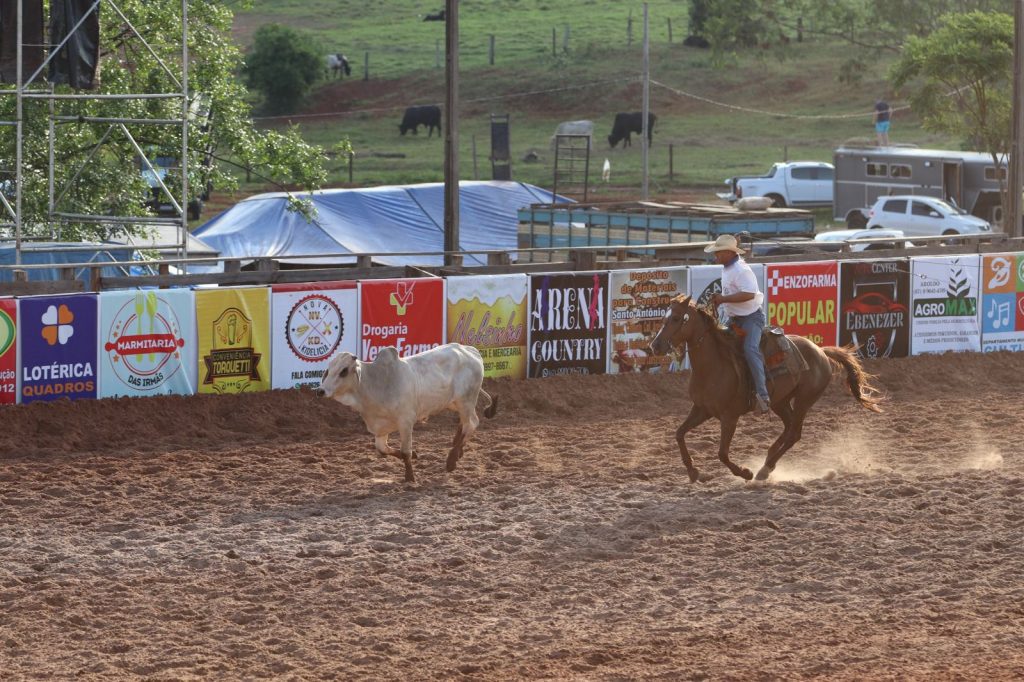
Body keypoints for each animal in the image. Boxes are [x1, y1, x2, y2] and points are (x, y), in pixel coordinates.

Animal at [317, 342, 497, 481]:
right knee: (463, 424)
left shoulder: (406, 422)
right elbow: (382, 450)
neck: (377, 383)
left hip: (466, 400)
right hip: (453, 403)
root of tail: (470, 350)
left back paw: (452, 460)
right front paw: (416, 455)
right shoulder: (381, 427)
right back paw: (458, 450)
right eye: (328, 370)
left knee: (471, 423)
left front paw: (410, 477)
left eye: (344, 371)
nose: (320, 391)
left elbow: (405, 452)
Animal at [647, 294, 880, 481]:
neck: (713, 365)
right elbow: (679, 434)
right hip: (780, 401)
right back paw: (769, 457)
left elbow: (722, 453)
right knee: (789, 427)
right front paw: (693, 472)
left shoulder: (729, 417)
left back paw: (764, 469)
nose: (655, 346)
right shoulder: (701, 409)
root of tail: (820, 350)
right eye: (664, 318)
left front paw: (744, 472)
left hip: (805, 399)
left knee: (794, 433)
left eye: (676, 318)